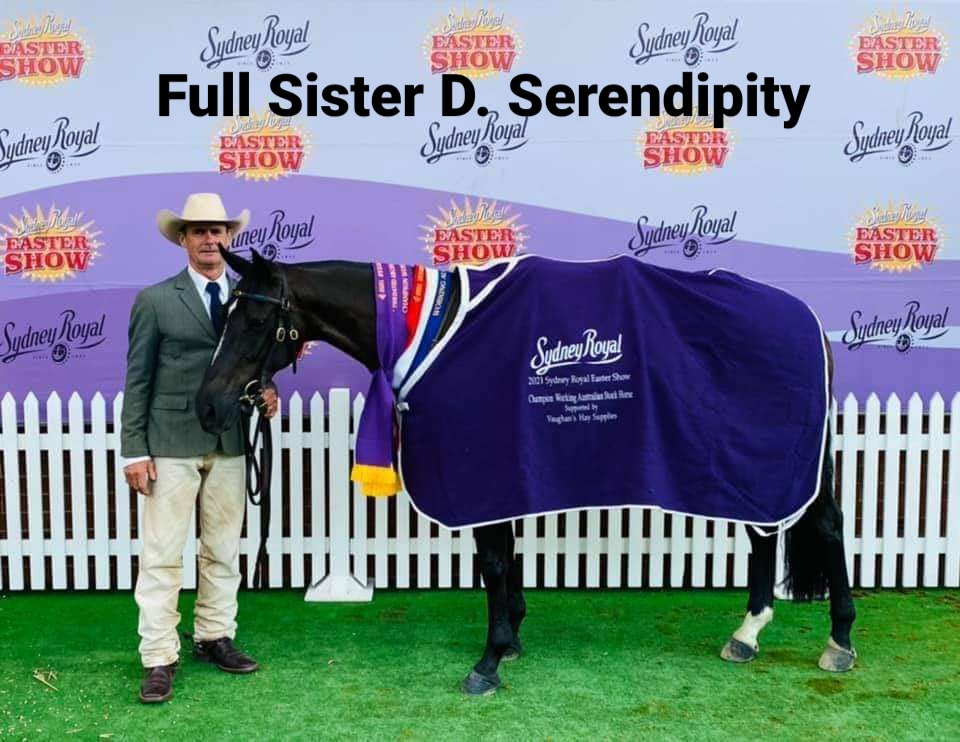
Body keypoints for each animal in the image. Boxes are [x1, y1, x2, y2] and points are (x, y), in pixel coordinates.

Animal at [196, 248, 857, 696]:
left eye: (253, 321)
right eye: (223, 315)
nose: (207, 404)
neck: (429, 328)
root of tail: (808, 318)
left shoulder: (488, 470)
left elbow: (492, 562)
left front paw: (488, 663)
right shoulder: (504, 474)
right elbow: (506, 559)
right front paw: (511, 637)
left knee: (824, 527)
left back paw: (839, 642)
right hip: (744, 468)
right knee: (765, 534)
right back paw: (746, 634)